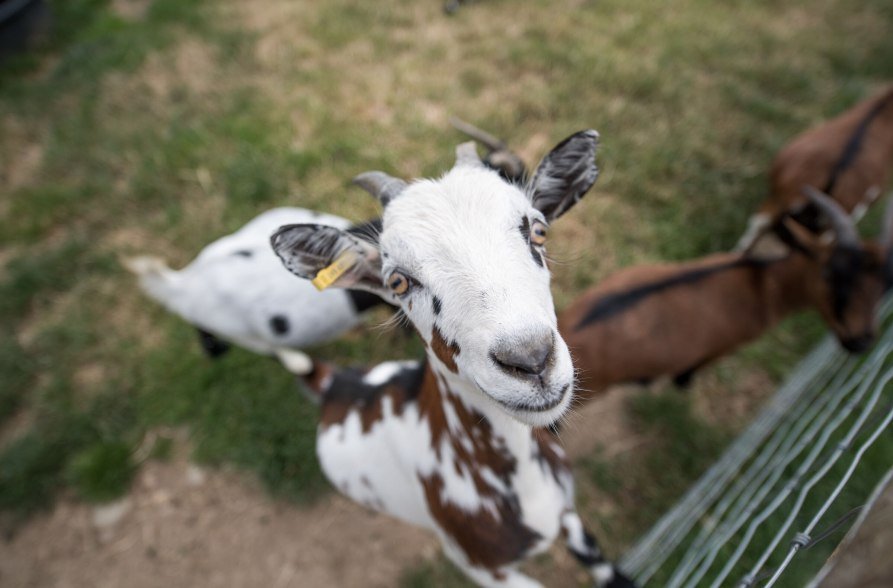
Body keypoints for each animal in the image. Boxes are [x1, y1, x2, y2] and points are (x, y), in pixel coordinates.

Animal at [271, 133, 635, 587]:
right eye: (398, 281)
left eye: (537, 230)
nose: (531, 360)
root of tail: (333, 382)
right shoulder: (482, 567)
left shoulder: (569, 515)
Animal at [561, 188, 892, 399]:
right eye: (831, 274)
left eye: (883, 288)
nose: (862, 341)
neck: (762, 284)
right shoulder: (724, 346)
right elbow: (694, 367)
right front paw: (682, 383)